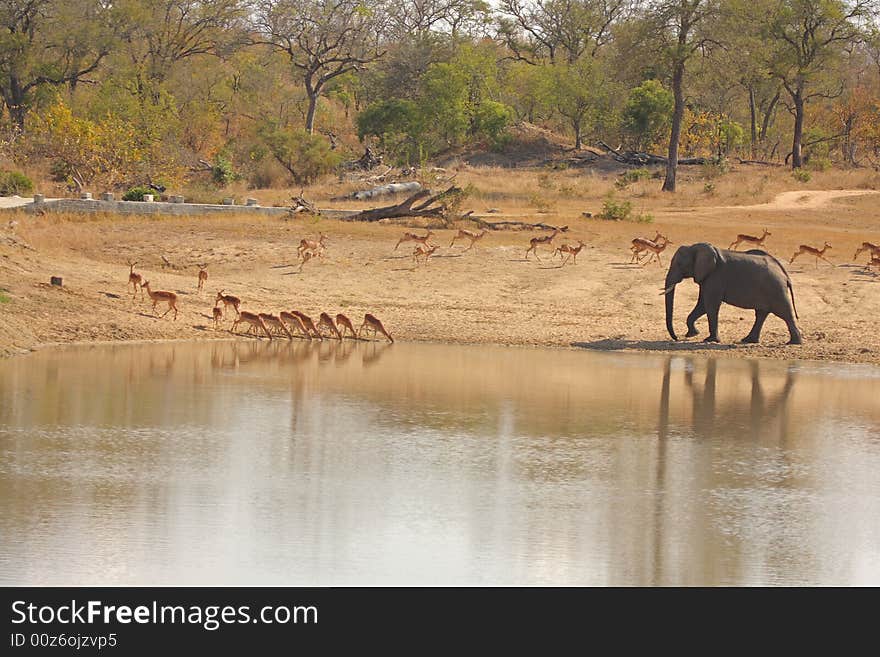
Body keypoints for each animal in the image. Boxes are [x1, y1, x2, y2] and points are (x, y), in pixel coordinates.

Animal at [664, 241, 800, 344]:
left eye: (680, 264)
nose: (677, 338)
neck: (694, 247)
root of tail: (784, 273)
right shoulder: (706, 278)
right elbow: (702, 304)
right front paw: (692, 334)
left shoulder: (715, 277)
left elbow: (710, 305)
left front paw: (710, 340)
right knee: (761, 314)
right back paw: (748, 340)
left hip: (776, 289)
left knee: (785, 313)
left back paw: (793, 342)